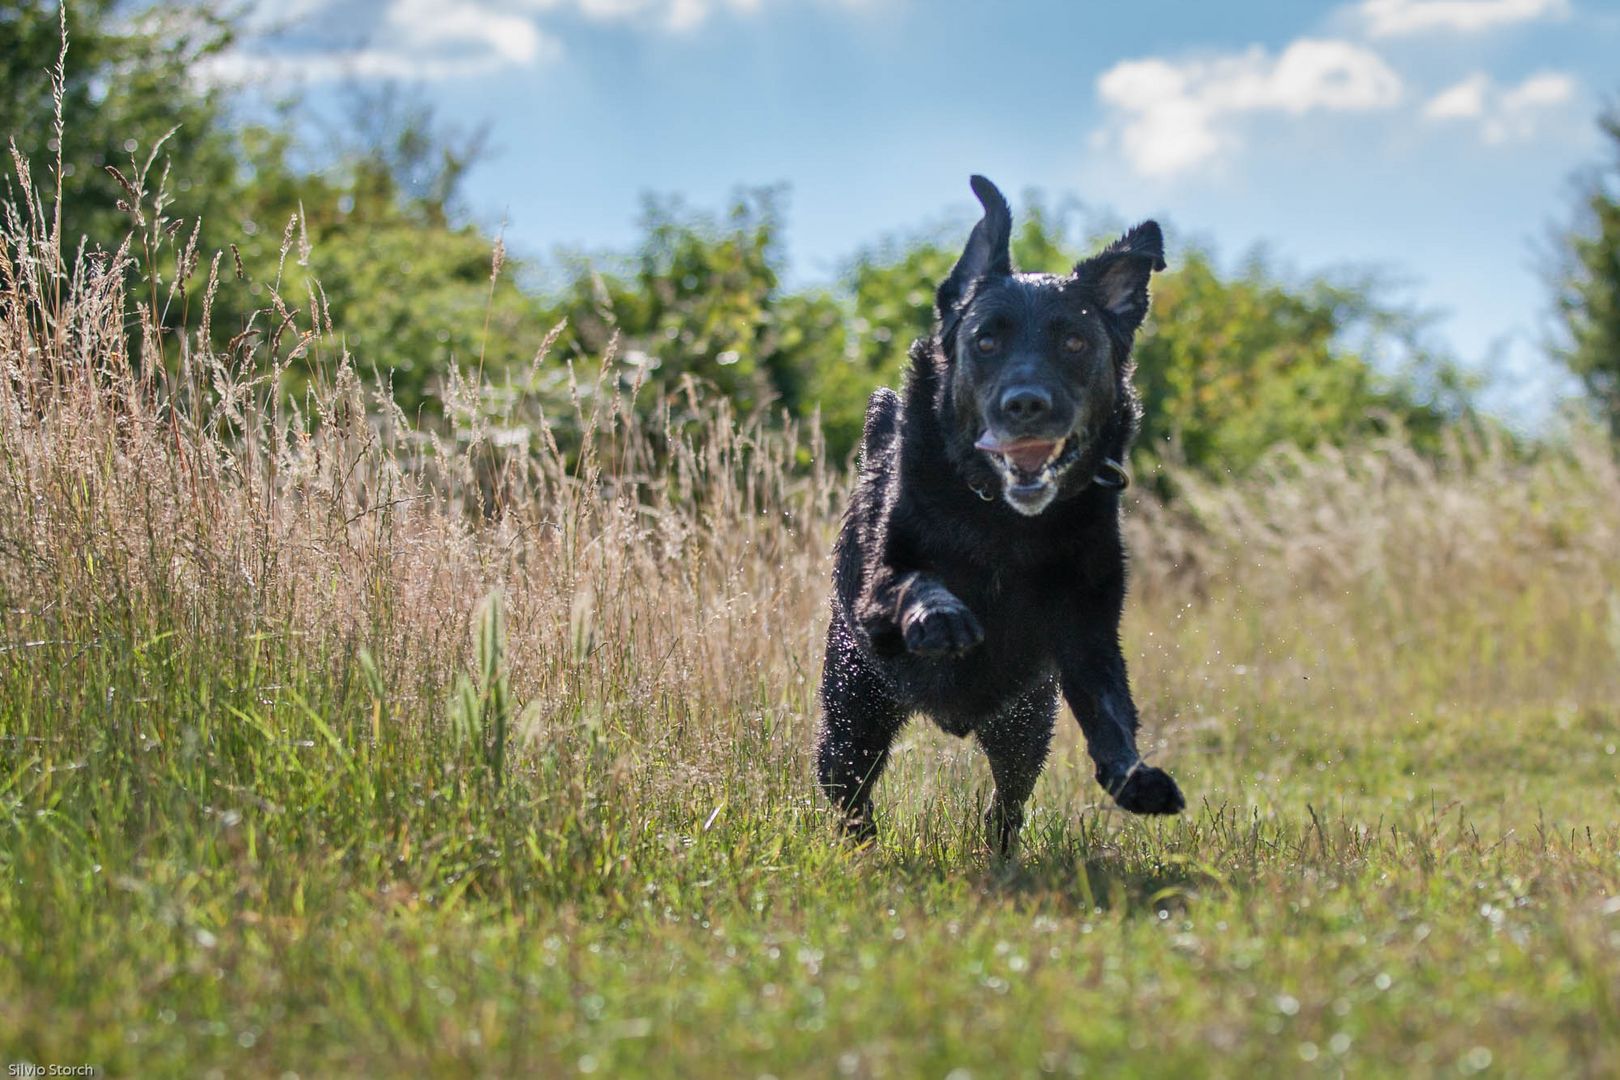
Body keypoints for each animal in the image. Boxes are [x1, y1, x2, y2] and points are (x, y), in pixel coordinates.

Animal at [816, 175, 1185, 854]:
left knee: (1006, 805)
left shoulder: (1089, 628)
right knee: (850, 797)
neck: (1005, 525)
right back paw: (863, 845)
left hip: (1025, 723)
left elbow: (1111, 711)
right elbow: (917, 580)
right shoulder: (878, 595)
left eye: (1074, 342)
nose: (1026, 404)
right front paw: (944, 617)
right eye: (985, 340)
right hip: (852, 713)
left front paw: (1135, 778)